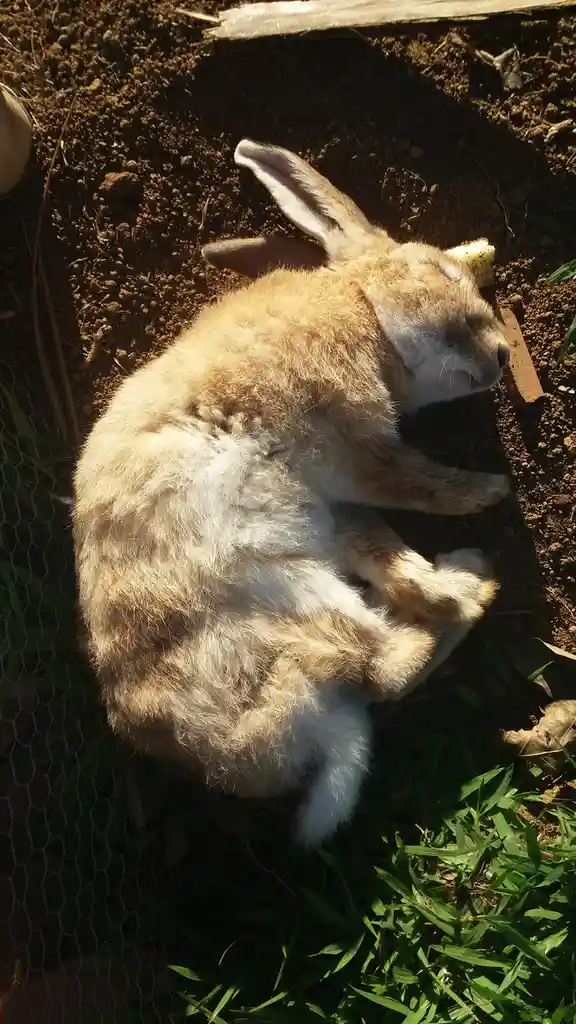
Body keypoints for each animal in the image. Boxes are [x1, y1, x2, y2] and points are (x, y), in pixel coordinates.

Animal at [73, 139, 510, 848]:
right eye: (441, 275)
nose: (501, 355)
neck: (363, 306)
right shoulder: (351, 438)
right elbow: (409, 480)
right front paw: (487, 492)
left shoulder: (343, 503)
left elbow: (383, 533)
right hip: (293, 601)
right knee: (386, 662)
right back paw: (474, 576)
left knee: (396, 633)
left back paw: (456, 576)